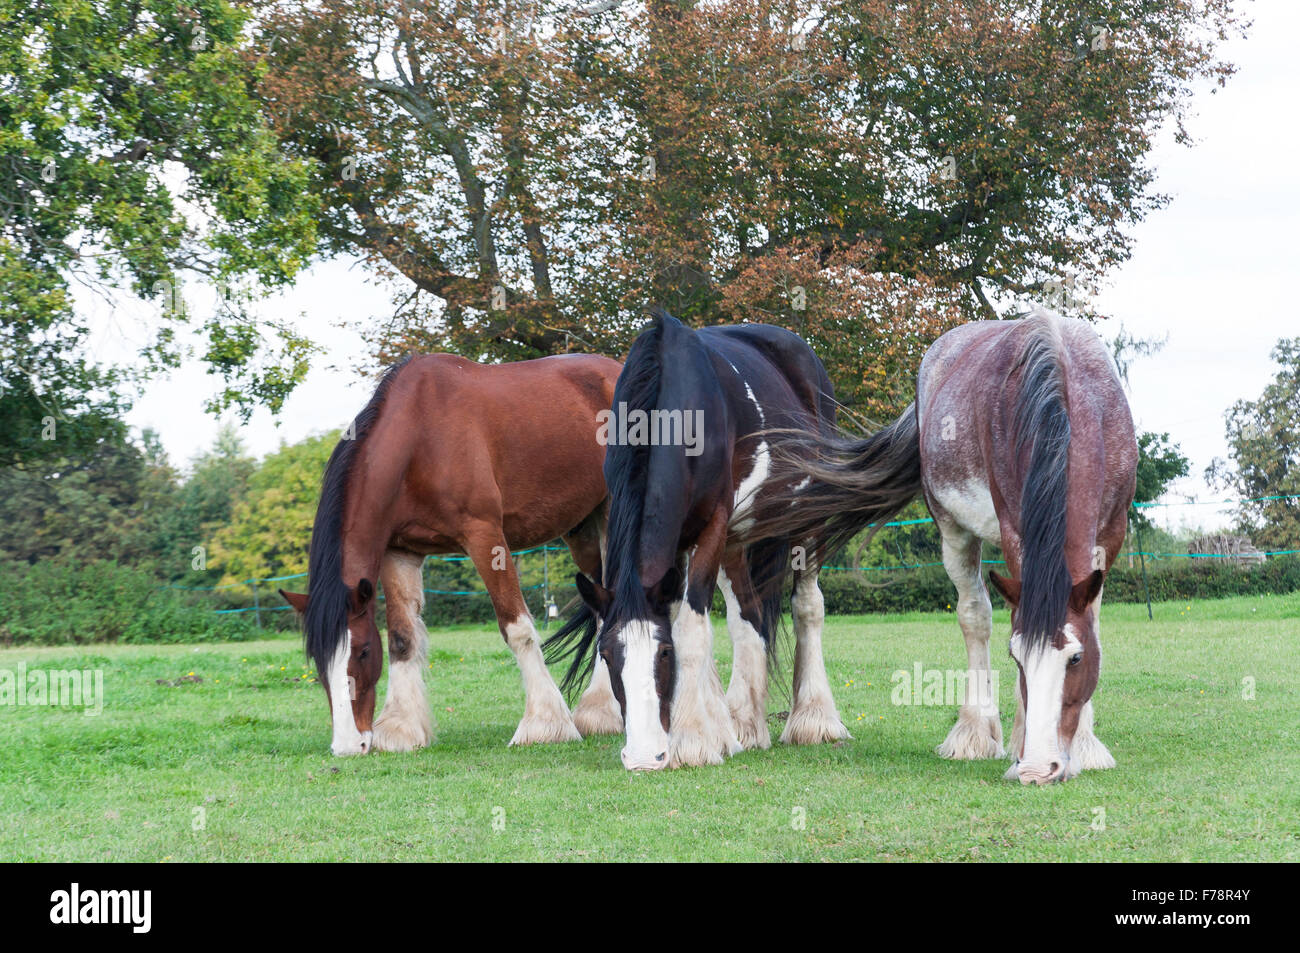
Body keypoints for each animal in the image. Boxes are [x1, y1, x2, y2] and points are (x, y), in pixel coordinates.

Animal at [279, 352, 626, 756]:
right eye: (318, 662)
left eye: (362, 651)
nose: (348, 745)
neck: (418, 441)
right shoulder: (400, 551)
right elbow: (402, 637)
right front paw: (400, 728)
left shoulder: (484, 534)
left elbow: (517, 629)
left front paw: (544, 723)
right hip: (582, 529)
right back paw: (601, 711)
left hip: (615, 512)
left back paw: (605, 711)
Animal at [546, 308, 871, 770]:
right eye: (607, 655)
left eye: (664, 654)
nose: (642, 756)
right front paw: (717, 730)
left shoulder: (713, 525)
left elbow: (691, 630)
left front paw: (692, 741)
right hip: (737, 539)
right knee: (748, 615)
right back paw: (746, 723)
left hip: (803, 519)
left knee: (807, 608)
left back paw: (815, 720)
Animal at [747, 310, 1137, 784]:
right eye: (1016, 658)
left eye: (1076, 660)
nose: (1038, 768)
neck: (1068, 396)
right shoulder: (1014, 526)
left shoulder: (1111, 531)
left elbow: (1091, 619)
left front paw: (1084, 745)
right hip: (953, 531)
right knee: (975, 616)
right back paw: (975, 732)